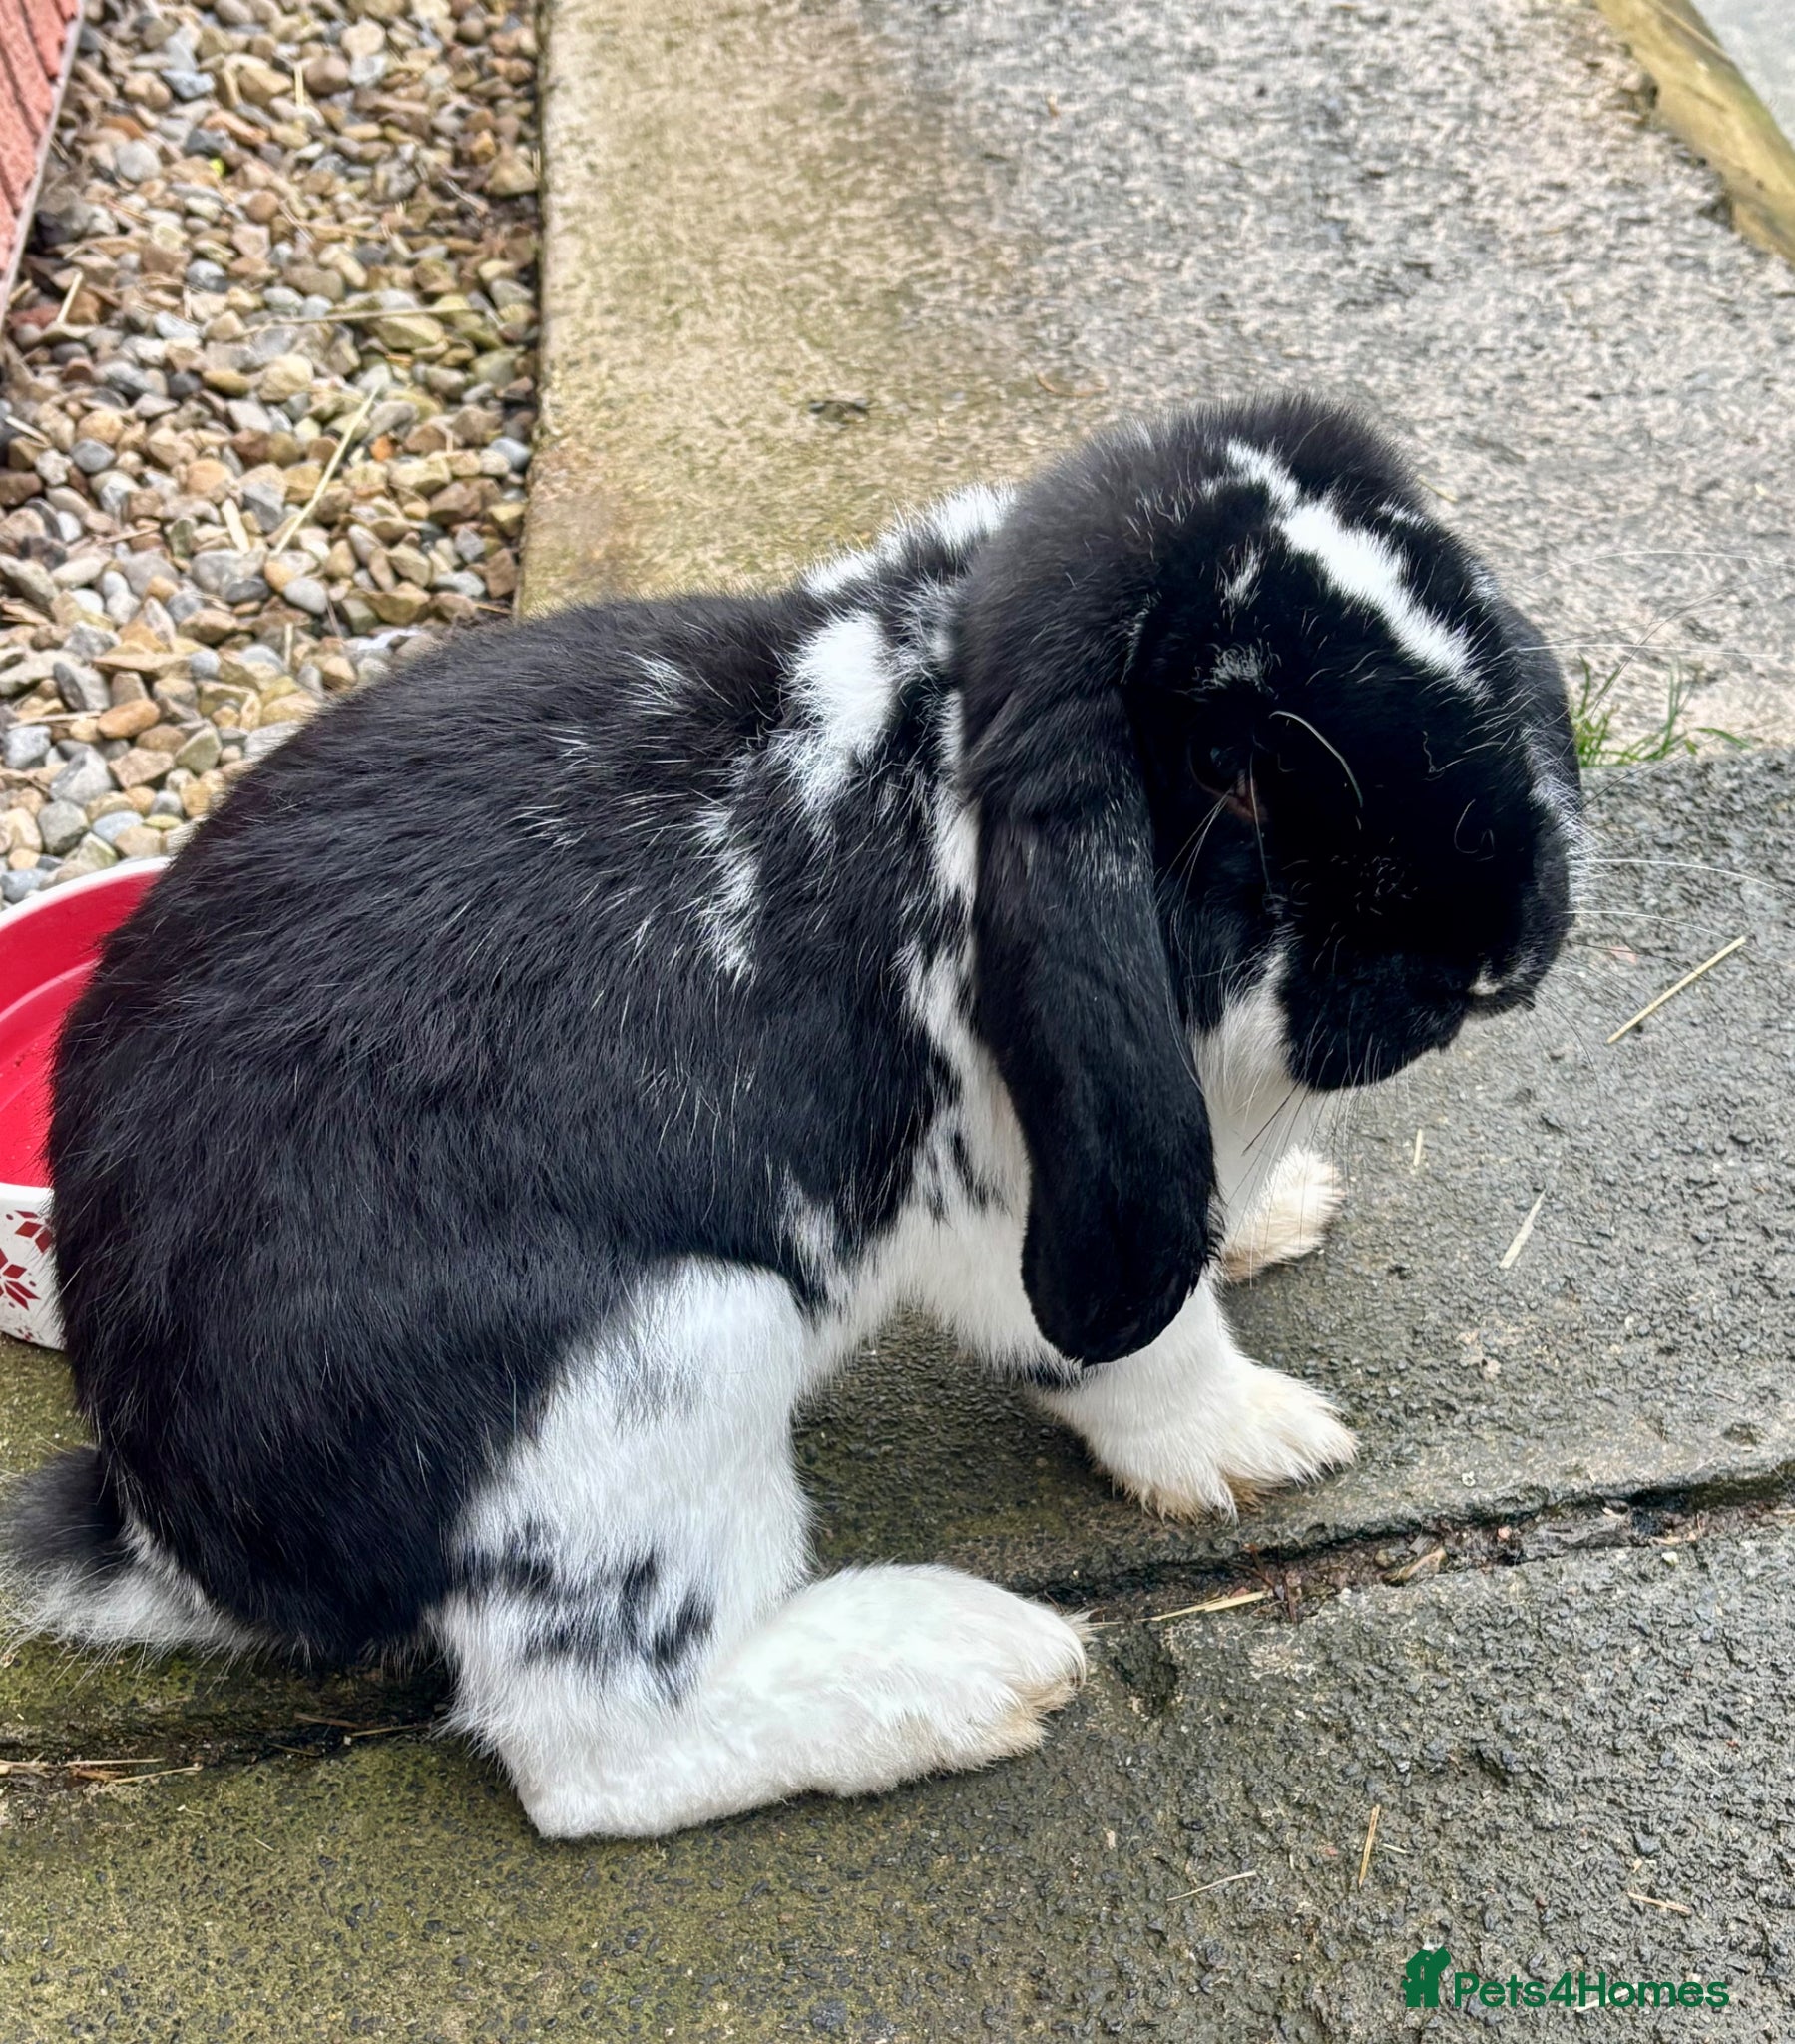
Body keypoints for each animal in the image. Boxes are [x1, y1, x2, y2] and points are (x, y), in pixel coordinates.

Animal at [2, 394, 1578, 1839]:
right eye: (1229, 778)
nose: (1496, 951)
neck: (921, 763)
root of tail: (171, 1535)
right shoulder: (1008, 1195)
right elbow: (1141, 1350)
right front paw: (1257, 1439)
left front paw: (1278, 1212)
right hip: (666, 1366)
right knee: (599, 1752)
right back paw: (965, 1674)